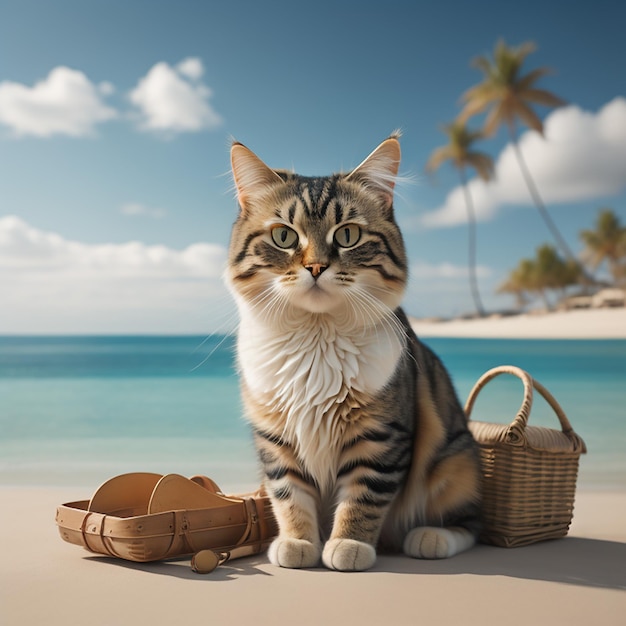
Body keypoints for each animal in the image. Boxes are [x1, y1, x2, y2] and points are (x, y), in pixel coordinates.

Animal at [227, 134, 480, 568]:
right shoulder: (276, 439)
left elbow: (363, 498)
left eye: (347, 235)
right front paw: (298, 543)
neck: (315, 337)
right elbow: (290, 496)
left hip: (456, 464)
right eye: (283, 236)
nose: (315, 267)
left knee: (471, 524)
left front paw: (348, 544)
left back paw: (429, 539)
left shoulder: (380, 437)